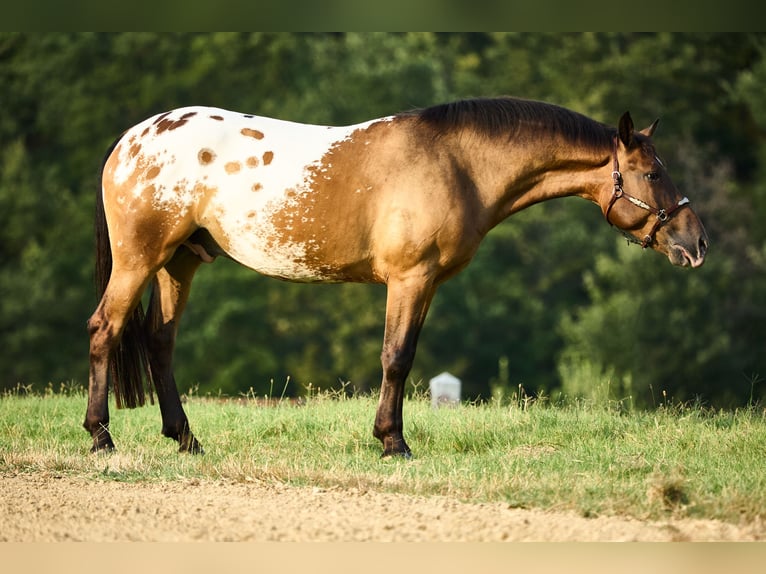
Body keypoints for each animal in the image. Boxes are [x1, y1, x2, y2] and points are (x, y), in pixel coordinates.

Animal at [84, 98, 708, 460]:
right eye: (653, 173)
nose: (697, 242)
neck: (457, 162)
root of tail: (129, 140)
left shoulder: (427, 284)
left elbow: (404, 357)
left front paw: (390, 437)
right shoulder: (409, 278)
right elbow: (396, 358)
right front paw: (393, 443)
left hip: (179, 263)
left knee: (160, 343)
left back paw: (186, 439)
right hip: (141, 259)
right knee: (104, 330)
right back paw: (101, 436)